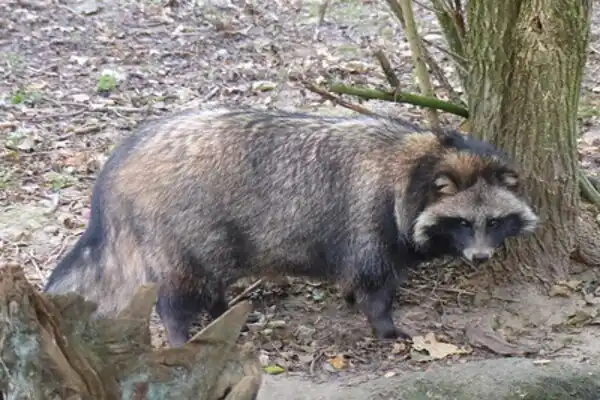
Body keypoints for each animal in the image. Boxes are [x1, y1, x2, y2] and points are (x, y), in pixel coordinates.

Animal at [43, 107, 540, 346]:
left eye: (495, 221)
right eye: (463, 222)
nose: (480, 257)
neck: (423, 164)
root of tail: (119, 162)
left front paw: (350, 297)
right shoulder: (371, 218)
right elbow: (375, 279)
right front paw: (383, 323)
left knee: (214, 272)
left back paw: (221, 308)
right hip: (176, 226)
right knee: (180, 287)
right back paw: (181, 328)